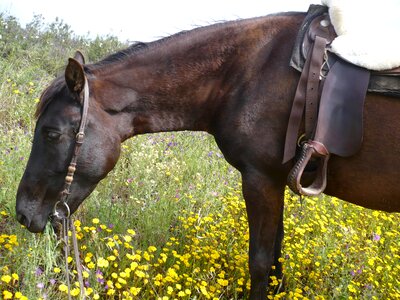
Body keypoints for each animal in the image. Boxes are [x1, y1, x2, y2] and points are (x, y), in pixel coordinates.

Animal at [14, 10, 400, 298]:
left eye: (51, 133)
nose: (22, 214)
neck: (246, 72)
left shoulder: (260, 179)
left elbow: (261, 262)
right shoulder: (274, 181)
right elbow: (276, 262)